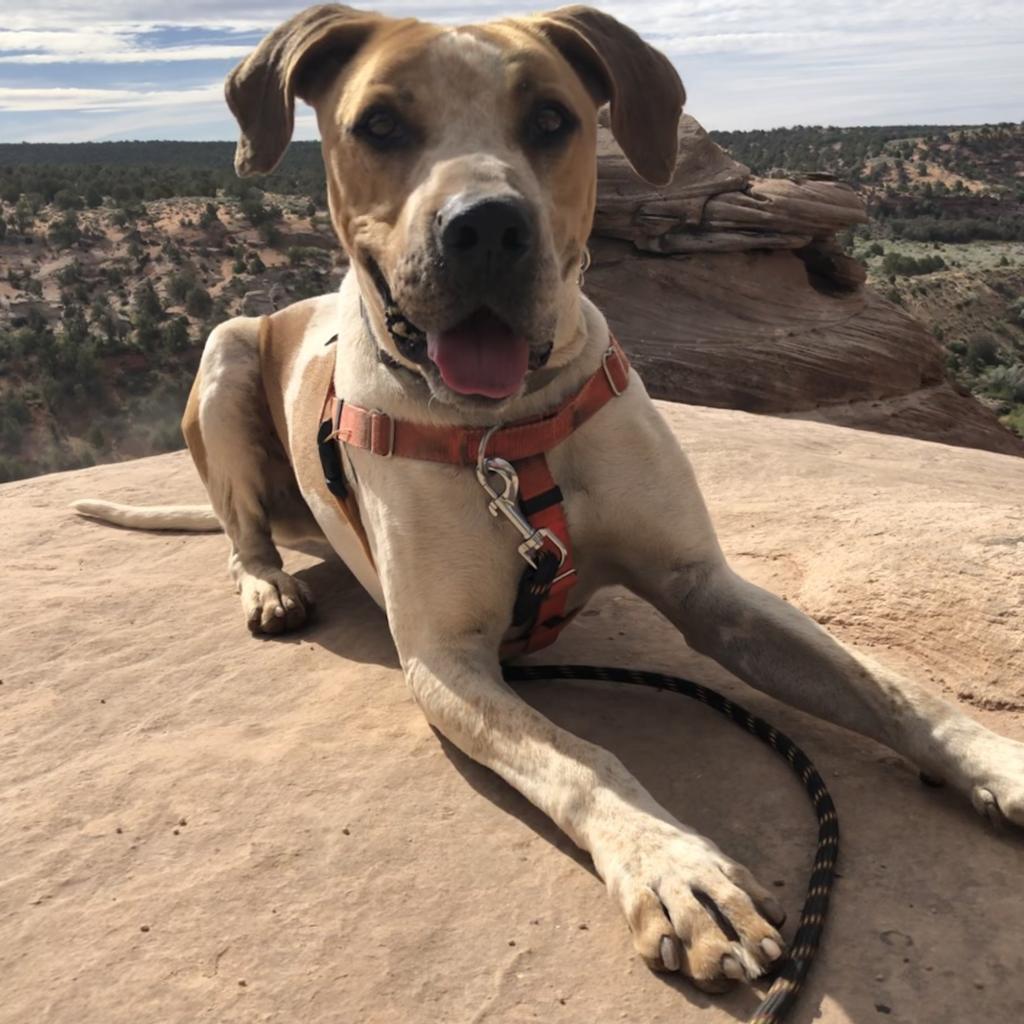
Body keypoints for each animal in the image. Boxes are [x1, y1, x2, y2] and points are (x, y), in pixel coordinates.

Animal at [75, 4, 1024, 995]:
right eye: (380, 124)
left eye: (551, 119)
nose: (486, 226)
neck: (507, 433)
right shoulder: (445, 660)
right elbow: (582, 760)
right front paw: (678, 869)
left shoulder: (708, 589)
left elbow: (884, 685)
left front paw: (994, 758)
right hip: (224, 352)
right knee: (240, 531)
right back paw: (268, 586)